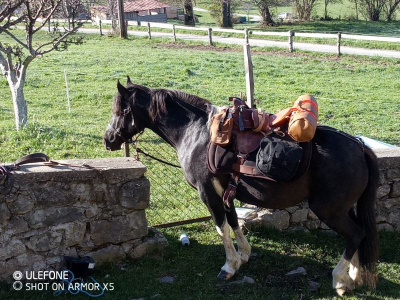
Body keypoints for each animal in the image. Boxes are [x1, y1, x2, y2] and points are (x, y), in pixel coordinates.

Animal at [103, 78, 378, 296]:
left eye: (121, 109)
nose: (108, 139)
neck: (196, 133)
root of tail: (358, 145)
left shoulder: (208, 193)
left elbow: (221, 227)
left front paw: (229, 266)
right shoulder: (226, 192)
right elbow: (234, 221)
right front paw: (244, 254)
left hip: (329, 210)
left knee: (355, 235)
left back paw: (340, 280)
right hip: (344, 208)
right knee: (360, 234)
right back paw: (354, 276)